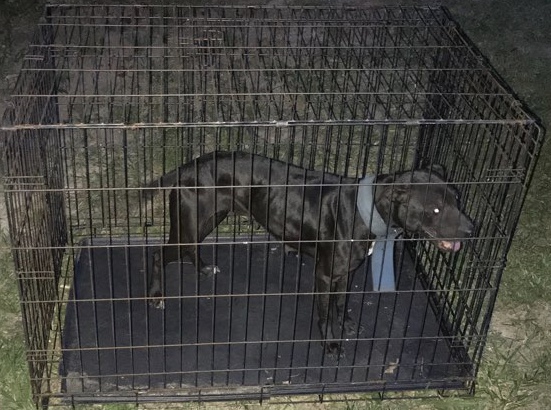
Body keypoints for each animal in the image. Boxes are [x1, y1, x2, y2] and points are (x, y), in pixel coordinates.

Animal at [143, 151, 474, 356]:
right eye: (435, 209)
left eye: (458, 199)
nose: (472, 229)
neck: (366, 211)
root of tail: (187, 166)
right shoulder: (325, 275)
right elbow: (325, 314)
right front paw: (330, 344)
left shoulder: (346, 271)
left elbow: (340, 303)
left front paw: (345, 323)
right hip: (190, 225)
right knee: (159, 254)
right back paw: (156, 295)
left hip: (208, 219)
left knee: (191, 249)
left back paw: (202, 268)